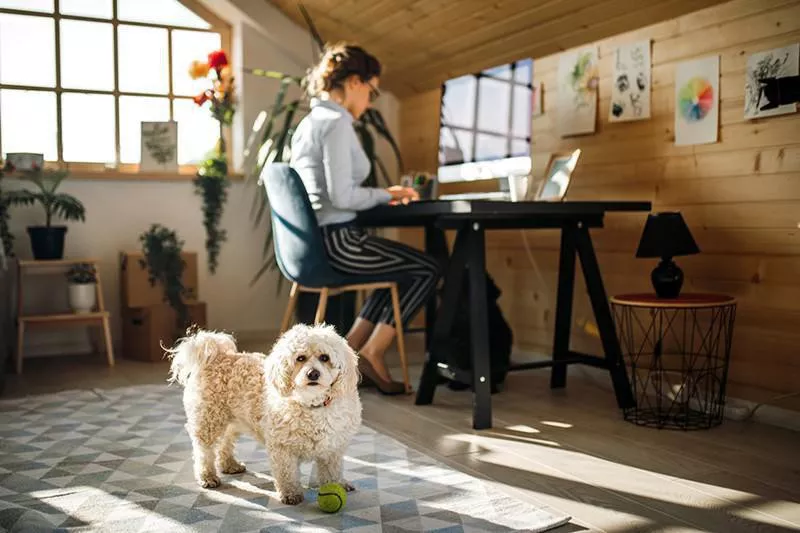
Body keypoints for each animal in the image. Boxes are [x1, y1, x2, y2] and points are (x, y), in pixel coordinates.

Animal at [166, 324, 362, 502]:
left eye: (325, 357)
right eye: (300, 358)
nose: (313, 373)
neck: (311, 404)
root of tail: (218, 356)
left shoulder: (333, 449)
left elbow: (332, 472)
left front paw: (337, 485)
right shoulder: (282, 448)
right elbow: (287, 473)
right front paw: (291, 494)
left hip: (232, 421)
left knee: (225, 443)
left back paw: (229, 465)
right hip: (209, 421)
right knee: (203, 451)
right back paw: (207, 476)